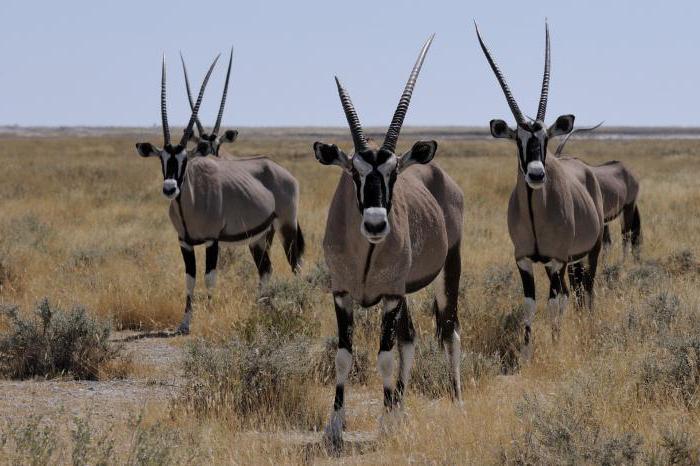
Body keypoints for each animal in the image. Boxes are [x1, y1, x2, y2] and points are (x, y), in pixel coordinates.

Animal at [134, 53, 304, 334]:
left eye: (184, 159)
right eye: (162, 158)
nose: (170, 188)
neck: (190, 202)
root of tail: (279, 170)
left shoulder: (212, 240)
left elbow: (209, 278)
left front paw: (210, 316)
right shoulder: (184, 242)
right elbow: (190, 280)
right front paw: (184, 324)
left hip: (286, 225)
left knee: (295, 263)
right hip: (260, 236)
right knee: (265, 269)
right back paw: (260, 308)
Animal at [314, 34, 464, 446]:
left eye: (394, 171)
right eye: (354, 172)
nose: (376, 224)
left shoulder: (390, 297)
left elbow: (383, 356)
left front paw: (383, 424)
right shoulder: (342, 293)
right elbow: (345, 356)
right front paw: (335, 427)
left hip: (449, 269)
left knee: (450, 331)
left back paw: (456, 400)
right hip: (406, 290)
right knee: (410, 338)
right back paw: (400, 409)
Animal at [478, 21, 604, 354]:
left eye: (545, 137)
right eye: (518, 139)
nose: (536, 174)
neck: (537, 213)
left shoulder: (554, 259)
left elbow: (553, 304)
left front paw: (556, 343)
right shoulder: (523, 259)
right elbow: (531, 303)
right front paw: (525, 350)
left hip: (590, 251)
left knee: (586, 289)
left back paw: (587, 326)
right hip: (567, 262)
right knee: (573, 291)